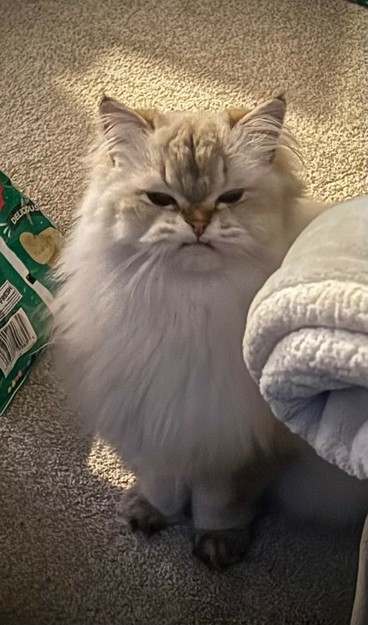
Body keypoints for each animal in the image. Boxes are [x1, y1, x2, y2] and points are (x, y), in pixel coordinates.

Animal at [53, 95, 366, 568]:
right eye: (160, 199)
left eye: (230, 197)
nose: (198, 224)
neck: (188, 310)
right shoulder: (155, 428)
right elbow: (163, 488)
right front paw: (151, 514)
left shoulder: (240, 448)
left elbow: (219, 505)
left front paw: (217, 546)